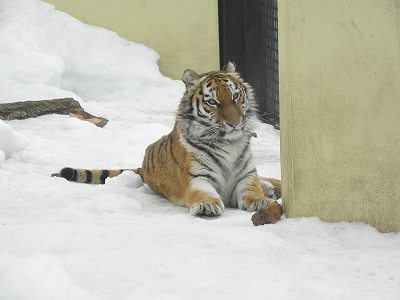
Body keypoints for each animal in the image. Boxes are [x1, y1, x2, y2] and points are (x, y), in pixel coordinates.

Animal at [54, 62, 282, 219]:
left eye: (235, 97)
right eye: (213, 102)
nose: (234, 124)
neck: (229, 144)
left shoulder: (247, 175)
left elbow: (252, 189)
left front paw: (260, 201)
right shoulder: (198, 179)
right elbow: (205, 194)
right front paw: (207, 206)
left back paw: (270, 187)